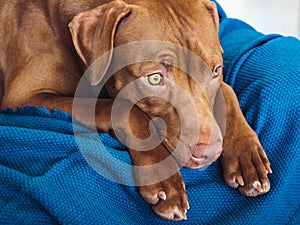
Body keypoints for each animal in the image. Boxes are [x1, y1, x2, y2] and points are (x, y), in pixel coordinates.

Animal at [0, 0, 272, 221]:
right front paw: (162, 175)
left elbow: (227, 91)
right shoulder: (26, 96)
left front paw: (245, 153)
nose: (210, 152)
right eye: (154, 78)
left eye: (216, 70)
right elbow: (126, 108)